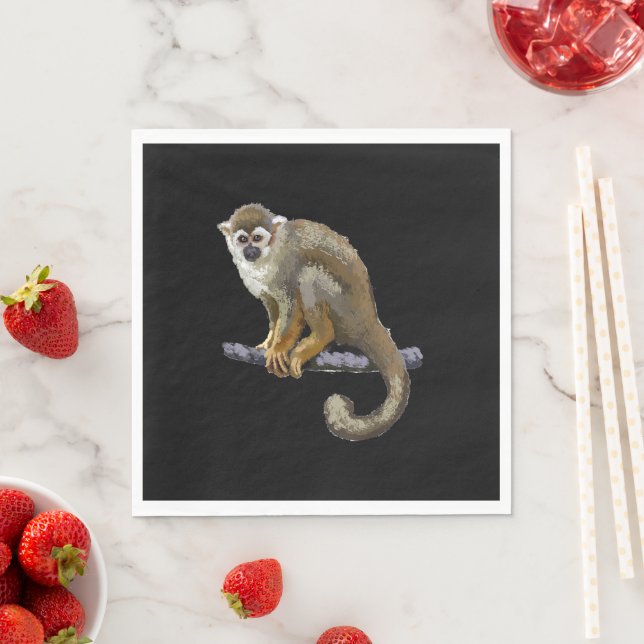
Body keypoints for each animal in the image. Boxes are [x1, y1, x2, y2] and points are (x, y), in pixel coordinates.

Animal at [217, 203, 410, 441]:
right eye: (243, 240)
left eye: (257, 238)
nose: (250, 252)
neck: (269, 257)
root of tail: (370, 318)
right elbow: (272, 307)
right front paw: (269, 342)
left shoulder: (287, 264)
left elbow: (291, 304)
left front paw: (279, 348)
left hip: (345, 309)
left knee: (308, 273)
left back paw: (321, 336)